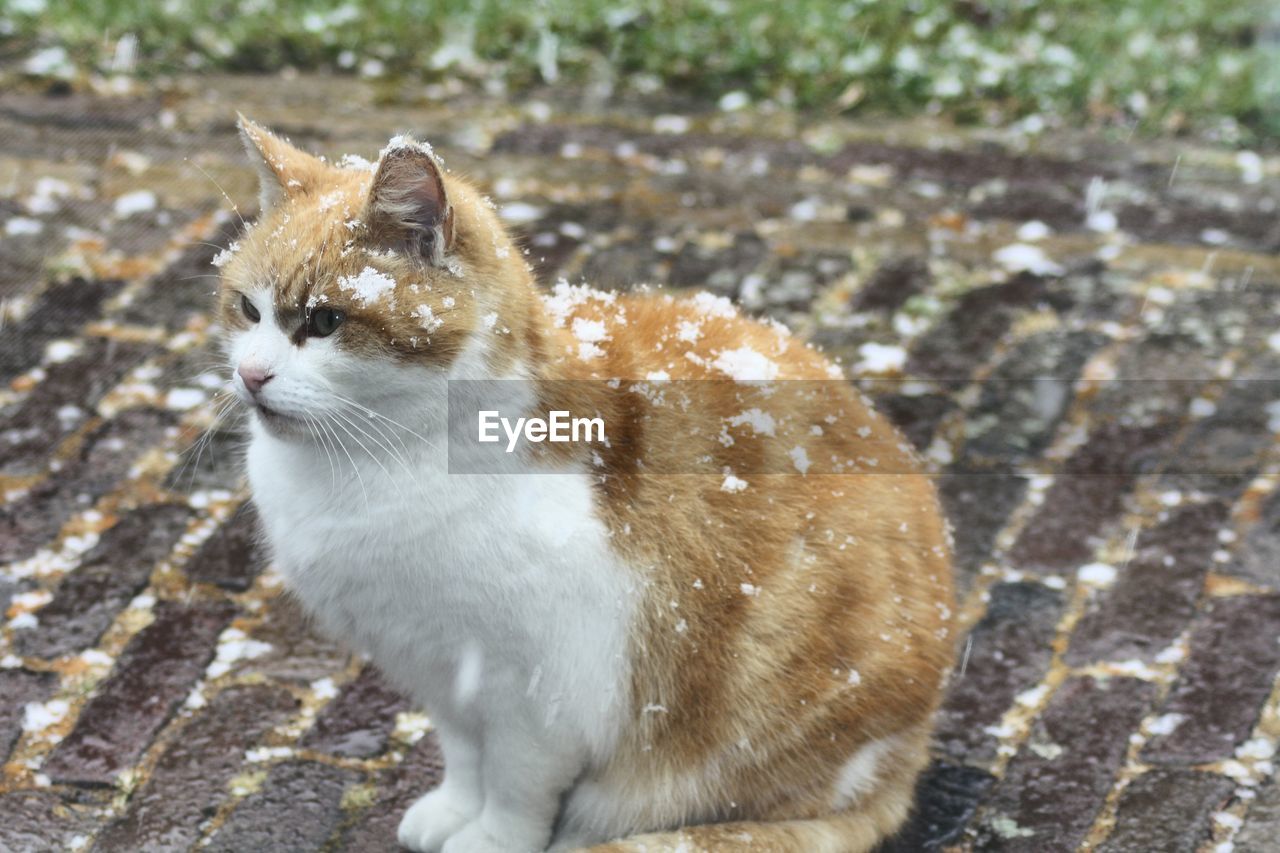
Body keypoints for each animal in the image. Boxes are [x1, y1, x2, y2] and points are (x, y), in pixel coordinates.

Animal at [220, 114, 957, 850]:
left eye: (324, 321)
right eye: (247, 310)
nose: (251, 375)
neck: (367, 470)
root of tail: (908, 764)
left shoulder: (540, 694)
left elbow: (513, 790)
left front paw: (490, 839)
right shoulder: (440, 673)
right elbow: (464, 757)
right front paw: (453, 810)